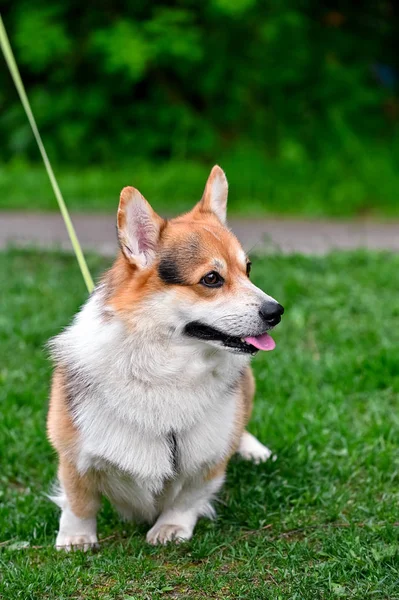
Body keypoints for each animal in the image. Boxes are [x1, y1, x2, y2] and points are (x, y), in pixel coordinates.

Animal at [47, 166, 284, 552]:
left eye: (248, 269)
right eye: (212, 278)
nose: (276, 311)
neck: (167, 368)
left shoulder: (207, 457)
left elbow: (187, 497)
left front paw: (171, 528)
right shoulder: (73, 451)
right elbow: (79, 500)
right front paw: (76, 538)